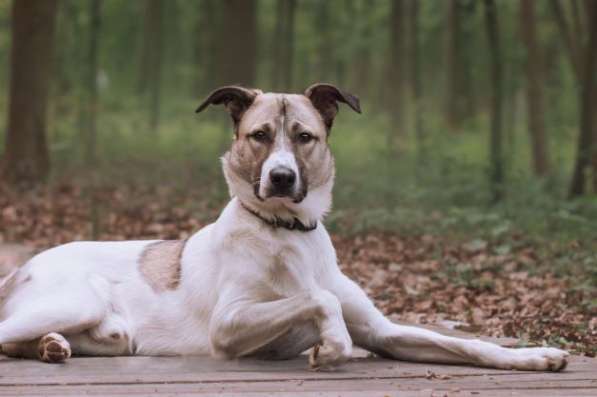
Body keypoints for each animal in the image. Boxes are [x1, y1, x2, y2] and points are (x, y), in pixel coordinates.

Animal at [0, 84, 568, 372]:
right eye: (259, 135)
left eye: (303, 136)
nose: (280, 177)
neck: (289, 234)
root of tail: (24, 264)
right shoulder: (228, 326)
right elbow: (318, 298)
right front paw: (332, 344)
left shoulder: (383, 332)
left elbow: (467, 345)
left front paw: (534, 356)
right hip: (76, 300)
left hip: (111, 337)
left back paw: (51, 347)